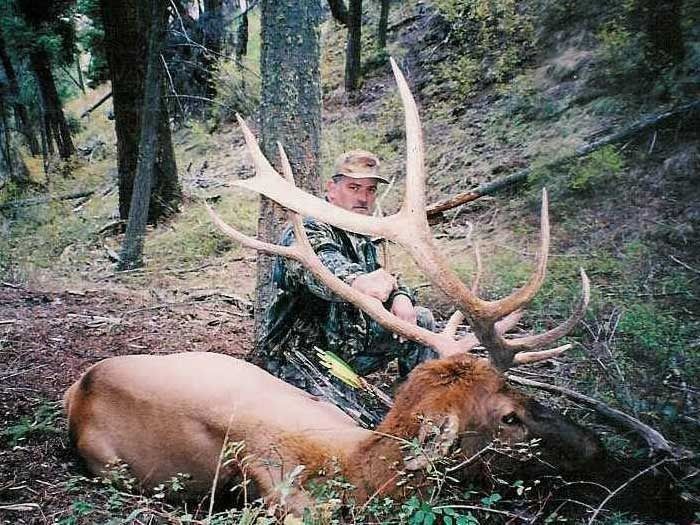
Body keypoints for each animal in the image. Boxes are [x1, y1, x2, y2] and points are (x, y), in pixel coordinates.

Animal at [64, 59, 602, 515]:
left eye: (522, 391)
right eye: (508, 416)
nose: (598, 449)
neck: (354, 467)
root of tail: (81, 385)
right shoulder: (277, 487)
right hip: (108, 463)